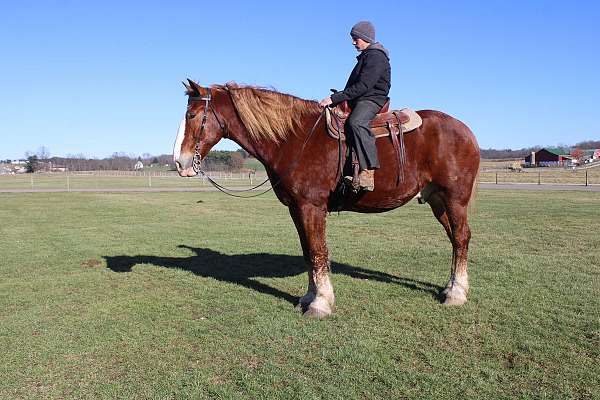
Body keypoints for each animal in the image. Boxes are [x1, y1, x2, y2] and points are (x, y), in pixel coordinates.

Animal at [172, 79, 478, 318]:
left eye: (191, 115)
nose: (179, 162)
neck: (294, 138)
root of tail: (466, 131)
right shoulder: (297, 209)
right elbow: (308, 252)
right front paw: (309, 297)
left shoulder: (312, 207)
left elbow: (318, 251)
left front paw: (320, 303)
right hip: (437, 200)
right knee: (455, 239)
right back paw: (452, 287)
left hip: (455, 199)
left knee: (461, 237)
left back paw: (456, 294)